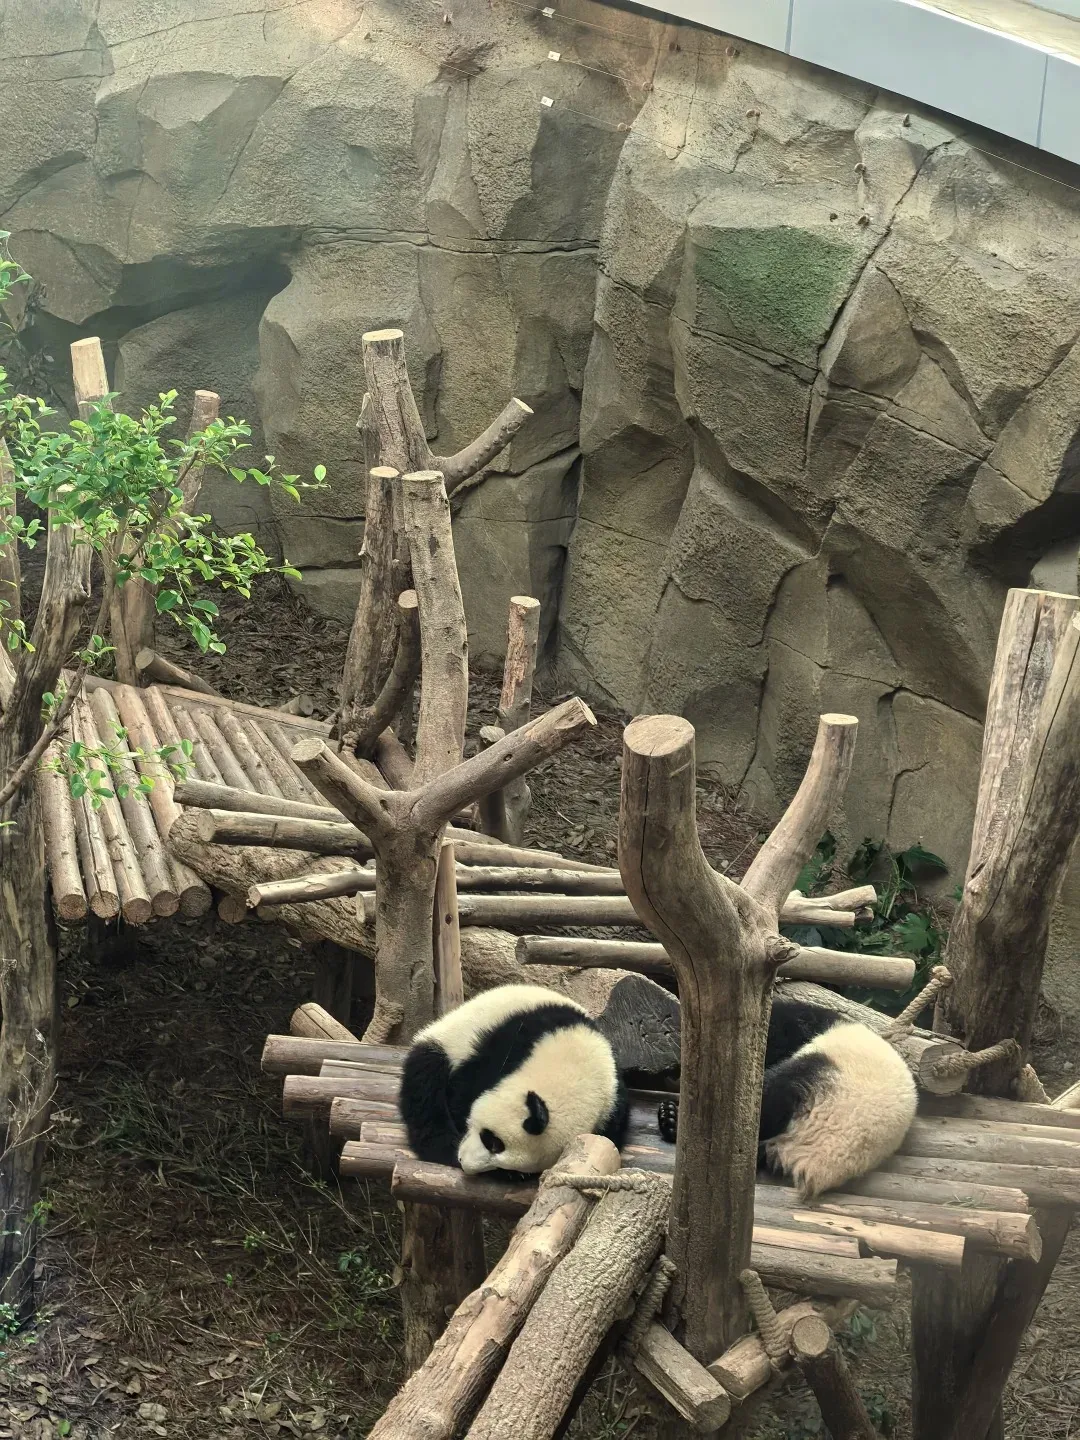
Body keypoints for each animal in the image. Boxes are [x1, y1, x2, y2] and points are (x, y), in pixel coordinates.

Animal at [399, 984, 629, 1176]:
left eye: (501, 1158)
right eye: (492, 1140)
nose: (463, 1161)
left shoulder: (612, 1107)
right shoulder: (514, 1038)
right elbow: (464, 1088)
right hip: (448, 1039)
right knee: (425, 1087)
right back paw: (441, 1144)